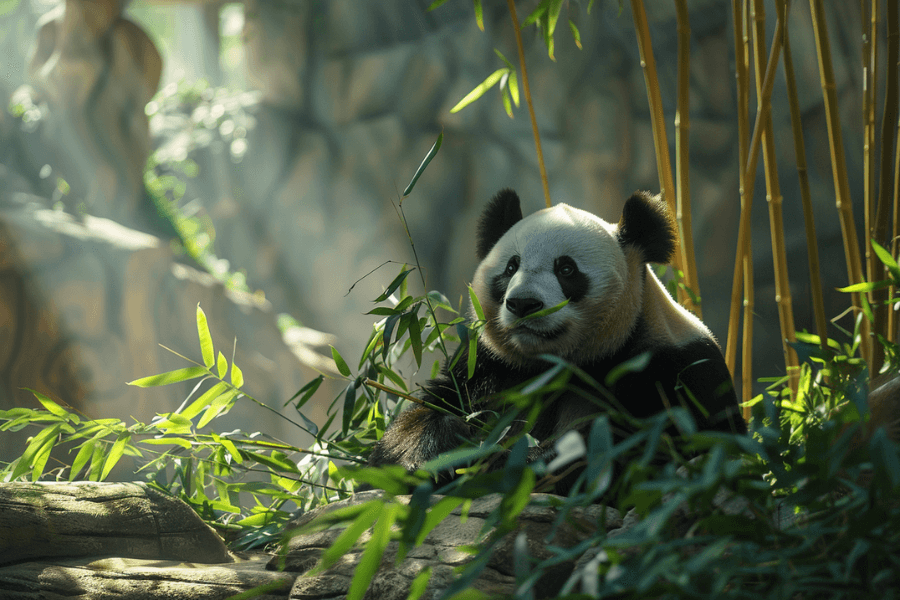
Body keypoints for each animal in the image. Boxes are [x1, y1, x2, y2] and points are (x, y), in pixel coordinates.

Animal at [368, 189, 746, 490]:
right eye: (511, 267)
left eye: (566, 269)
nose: (523, 304)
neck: (561, 361)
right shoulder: (488, 366)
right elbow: (427, 413)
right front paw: (436, 458)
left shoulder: (668, 372)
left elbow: (626, 448)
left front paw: (498, 464)